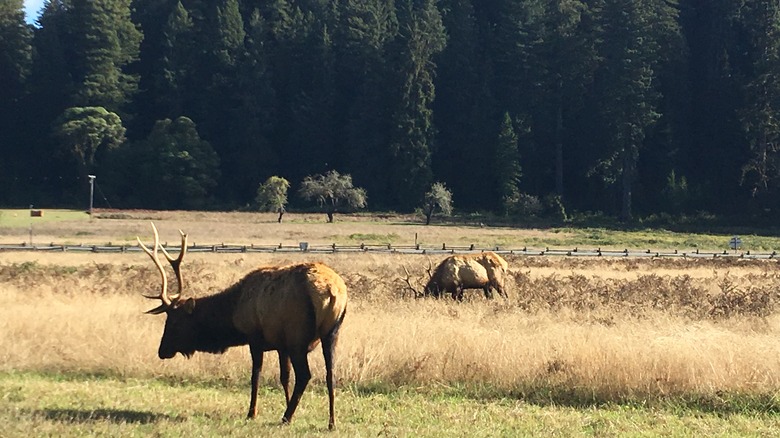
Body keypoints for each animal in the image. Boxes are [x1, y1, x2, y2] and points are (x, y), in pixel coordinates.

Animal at [139, 224, 348, 430]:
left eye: (174, 322)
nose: (162, 351)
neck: (234, 313)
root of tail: (332, 291)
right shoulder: (281, 344)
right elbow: (285, 377)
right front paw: (291, 407)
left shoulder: (255, 336)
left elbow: (255, 375)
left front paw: (252, 413)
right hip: (331, 333)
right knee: (330, 374)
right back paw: (331, 422)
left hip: (298, 333)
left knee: (305, 375)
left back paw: (286, 417)